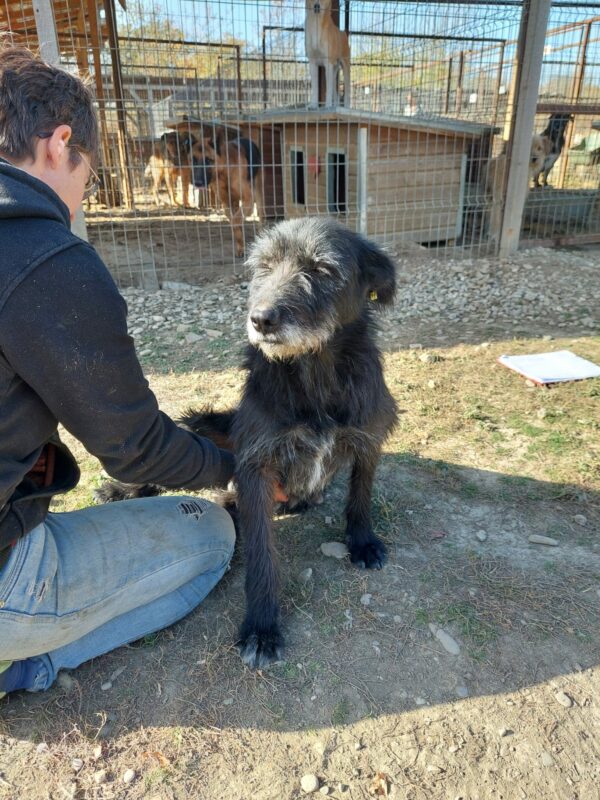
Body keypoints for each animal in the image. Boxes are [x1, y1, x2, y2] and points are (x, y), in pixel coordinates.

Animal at [97, 217, 398, 668]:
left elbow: (360, 495)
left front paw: (362, 542)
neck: (315, 371)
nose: (261, 319)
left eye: (322, 269)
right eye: (263, 268)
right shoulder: (255, 465)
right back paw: (120, 490)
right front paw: (261, 626)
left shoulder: (368, 437)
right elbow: (261, 555)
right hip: (205, 429)